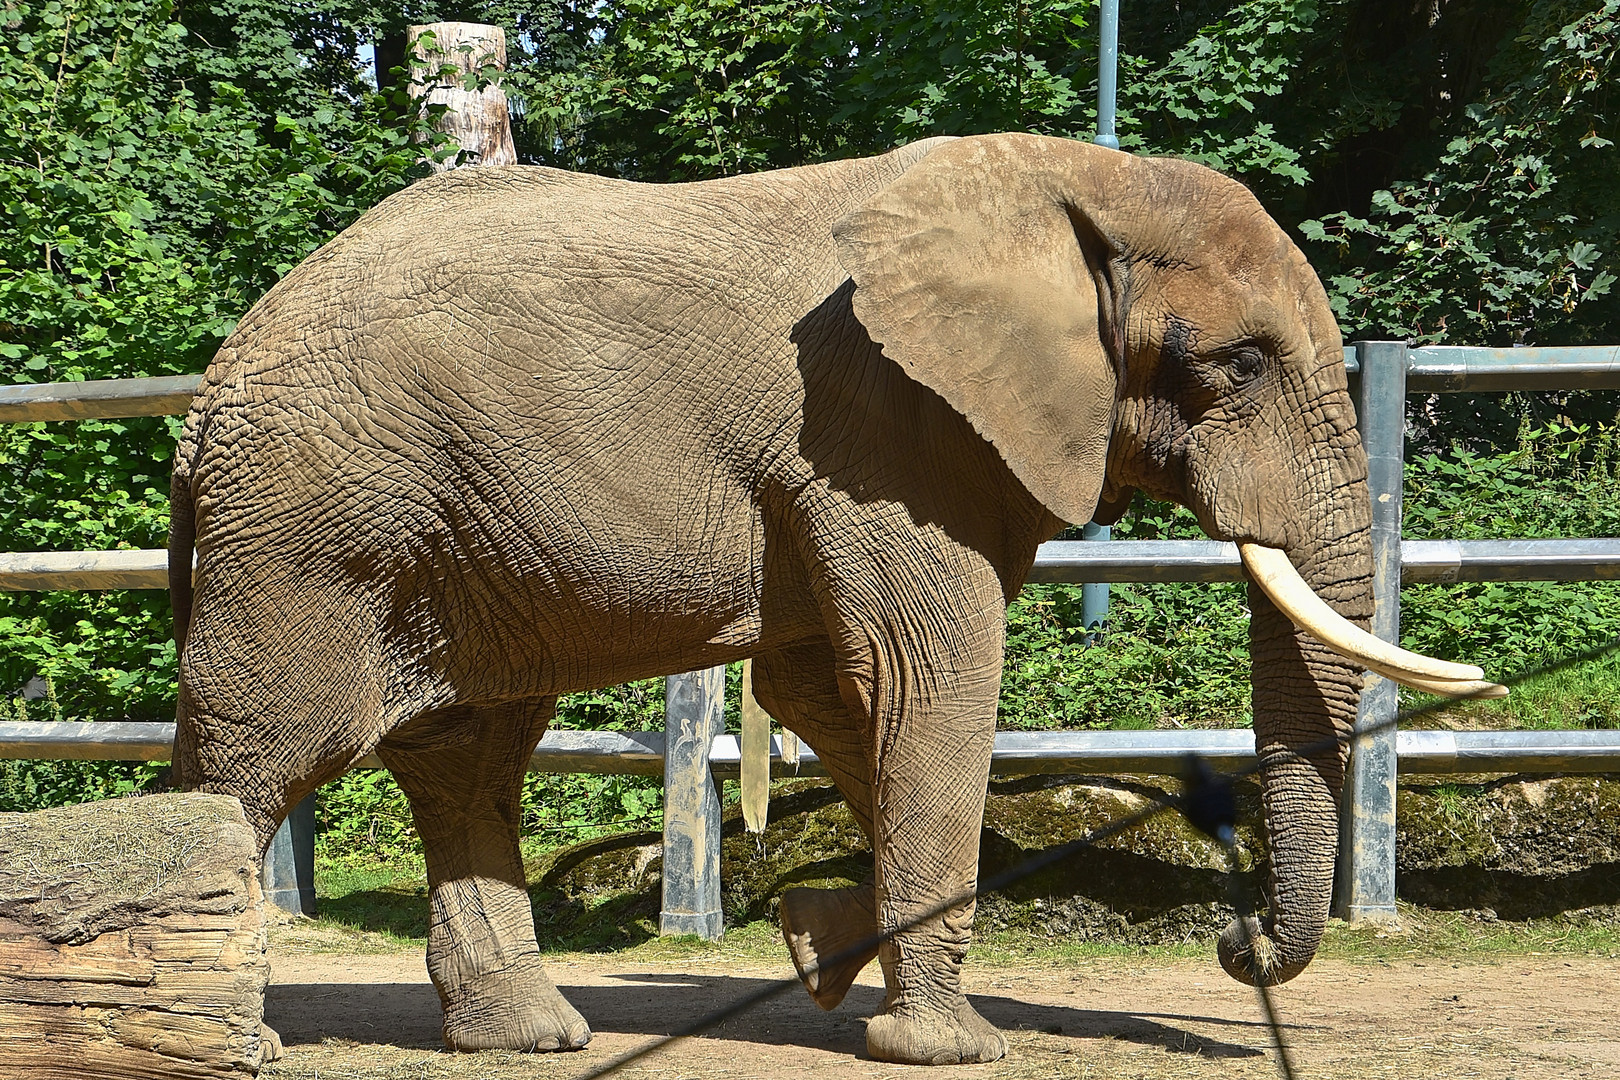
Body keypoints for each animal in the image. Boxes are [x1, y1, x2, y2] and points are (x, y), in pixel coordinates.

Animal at [170, 132, 1496, 1062]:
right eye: (1240, 364)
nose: (1237, 941)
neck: (1072, 180)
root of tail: (217, 374)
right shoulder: (885, 432)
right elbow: (929, 676)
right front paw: (948, 1047)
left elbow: (831, 691)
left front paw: (817, 945)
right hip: (307, 525)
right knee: (261, 749)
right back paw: (242, 1036)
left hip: (451, 534)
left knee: (471, 757)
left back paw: (529, 1038)